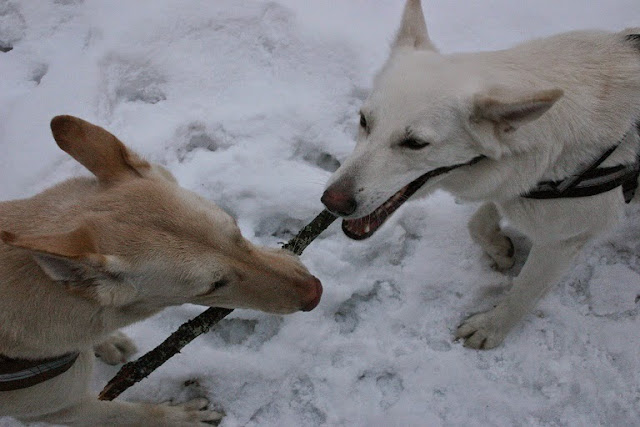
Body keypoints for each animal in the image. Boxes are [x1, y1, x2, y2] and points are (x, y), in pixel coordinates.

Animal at [0, 115, 322, 425]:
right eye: (212, 285)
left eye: (236, 232)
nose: (315, 292)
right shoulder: (62, 409)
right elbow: (132, 414)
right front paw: (185, 417)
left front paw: (109, 342)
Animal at [322, 0, 640, 349]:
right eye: (364, 120)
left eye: (415, 143)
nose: (332, 202)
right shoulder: (511, 189)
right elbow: (477, 223)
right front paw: (501, 250)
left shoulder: (563, 240)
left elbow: (523, 293)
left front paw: (490, 328)